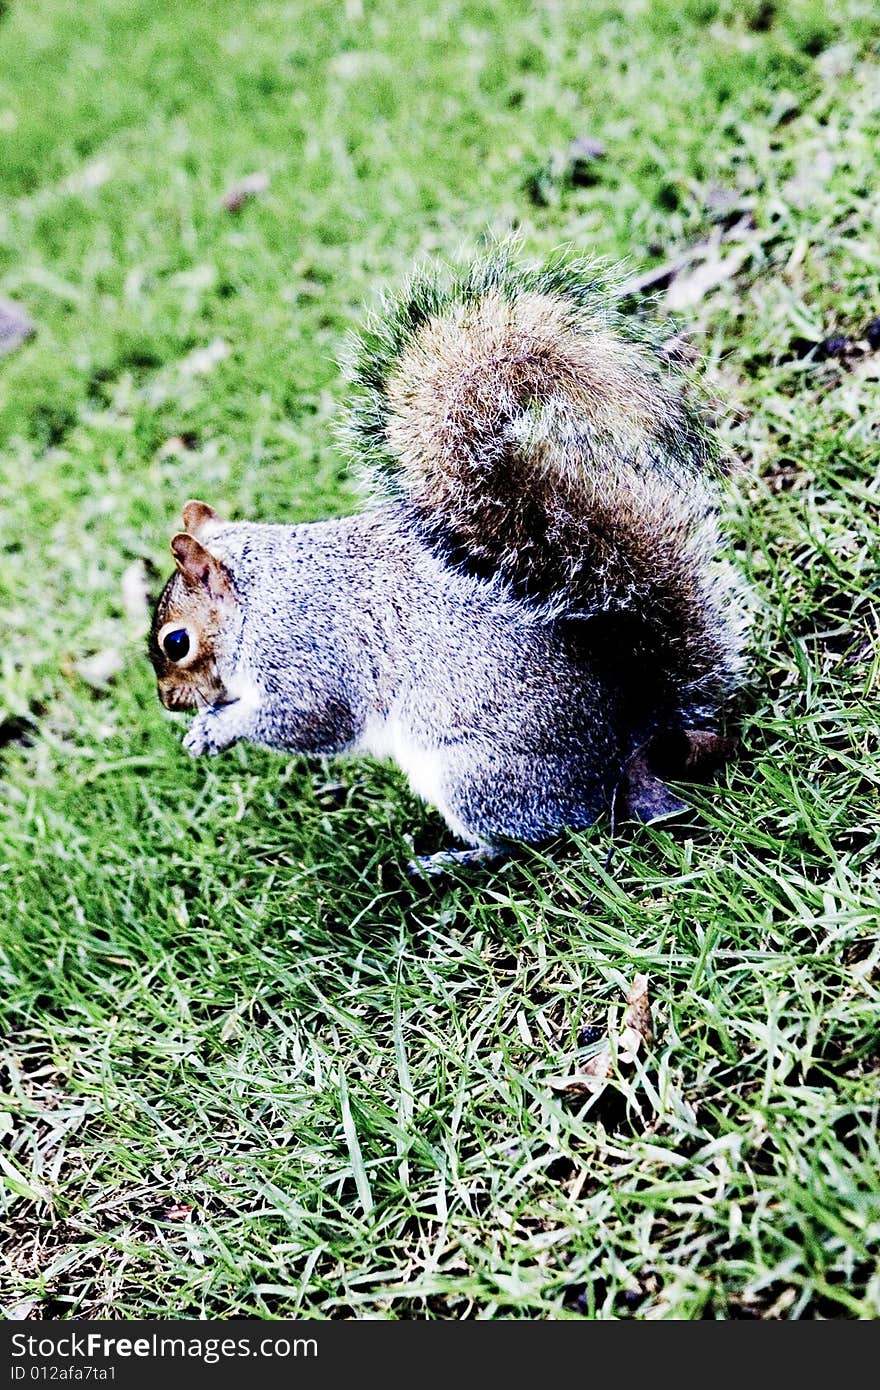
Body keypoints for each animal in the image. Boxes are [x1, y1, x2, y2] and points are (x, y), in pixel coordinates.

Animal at [147, 246, 745, 872]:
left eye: (176, 642)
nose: (169, 702)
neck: (258, 597)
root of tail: (629, 747)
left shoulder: (307, 654)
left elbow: (310, 720)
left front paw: (216, 729)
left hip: (469, 776)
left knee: (542, 836)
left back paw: (452, 858)